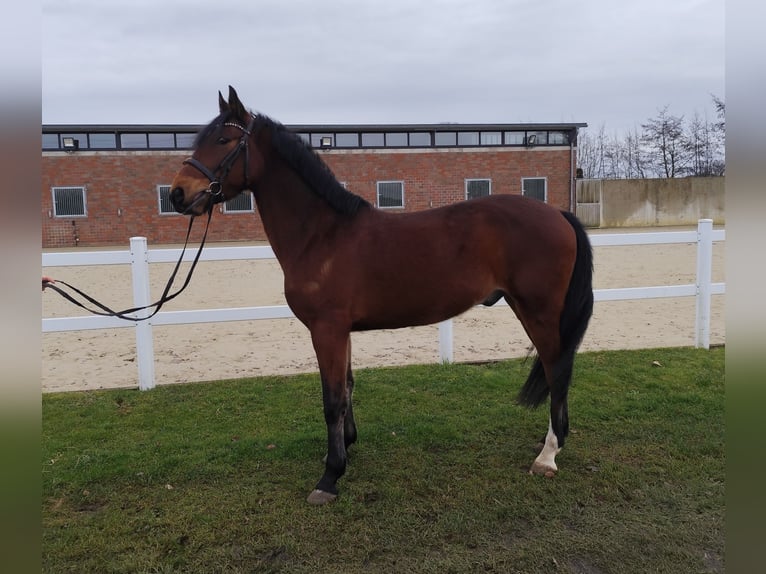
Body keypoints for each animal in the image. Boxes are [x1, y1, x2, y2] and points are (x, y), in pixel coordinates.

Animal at [171, 88, 596, 506]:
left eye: (223, 141)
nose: (178, 194)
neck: (321, 235)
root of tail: (558, 214)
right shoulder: (341, 331)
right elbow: (347, 388)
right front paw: (346, 447)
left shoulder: (326, 330)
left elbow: (332, 400)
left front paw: (330, 476)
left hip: (539, 311)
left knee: (557, 370)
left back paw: (548, 455)